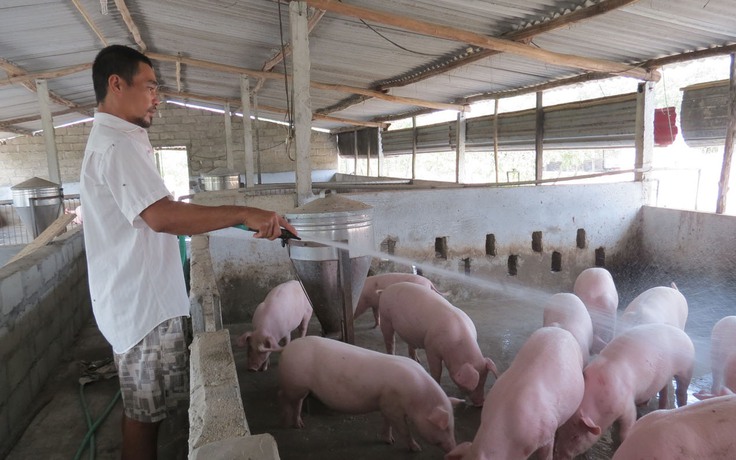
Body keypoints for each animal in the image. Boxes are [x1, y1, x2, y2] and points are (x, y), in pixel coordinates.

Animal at [278, 334, 458, 452]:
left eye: (452, 425)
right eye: (445, 427)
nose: (453, 448)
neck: (417, 399)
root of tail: (288, 348)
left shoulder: (386, 404)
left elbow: (387, 422)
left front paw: (389, 441)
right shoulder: (393, 407)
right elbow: (404, 430)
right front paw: (417, 448)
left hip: (301, 387)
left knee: (298, 401)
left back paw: (299, 424)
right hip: (293, 383)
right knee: (284, 397)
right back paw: (286, 423)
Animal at [556, 324, 692, 460]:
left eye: (576, 437)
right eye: (559, 431)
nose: (559, 457)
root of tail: (682, 333)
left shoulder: (627, 404)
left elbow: (627, 425)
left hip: (686, 370)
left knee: (681, 391)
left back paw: (682, 404)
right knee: (664, 388)